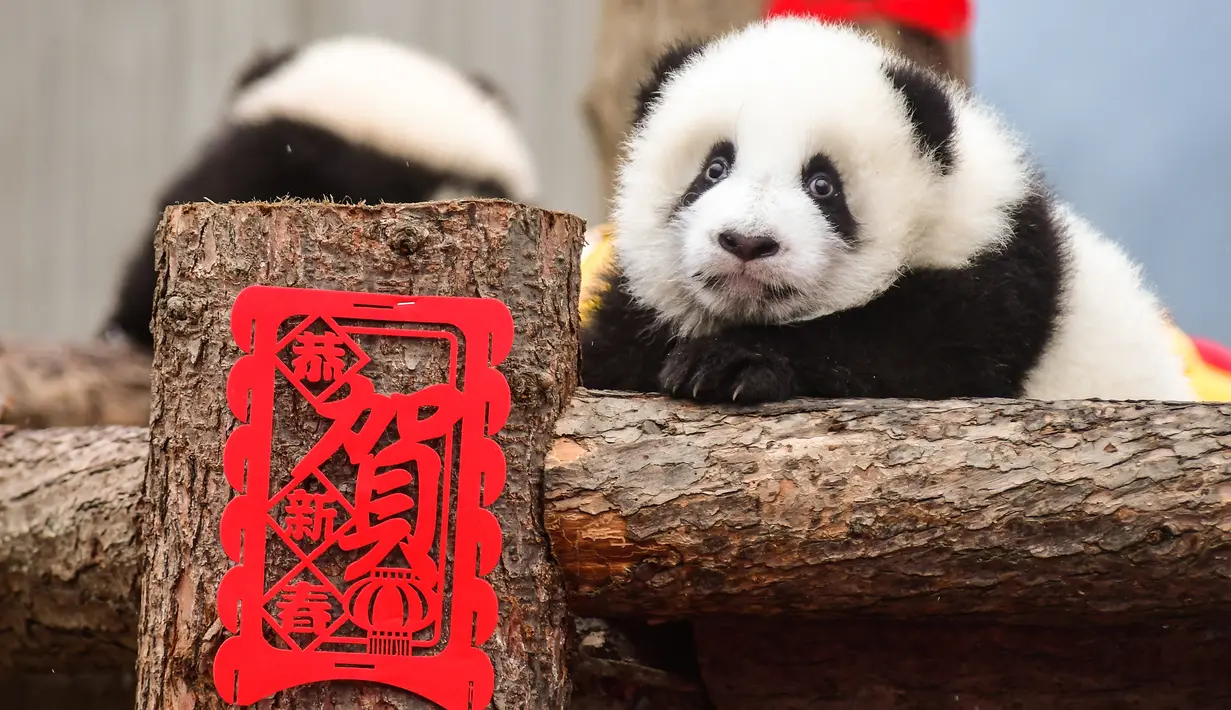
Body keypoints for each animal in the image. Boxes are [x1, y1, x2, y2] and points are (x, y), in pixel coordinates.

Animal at [580, 17, 1195, 404]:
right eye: (714, 168)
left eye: (823, 185)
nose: (747, 242)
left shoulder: (994, 274)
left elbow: (908, 351)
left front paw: (729, 364)